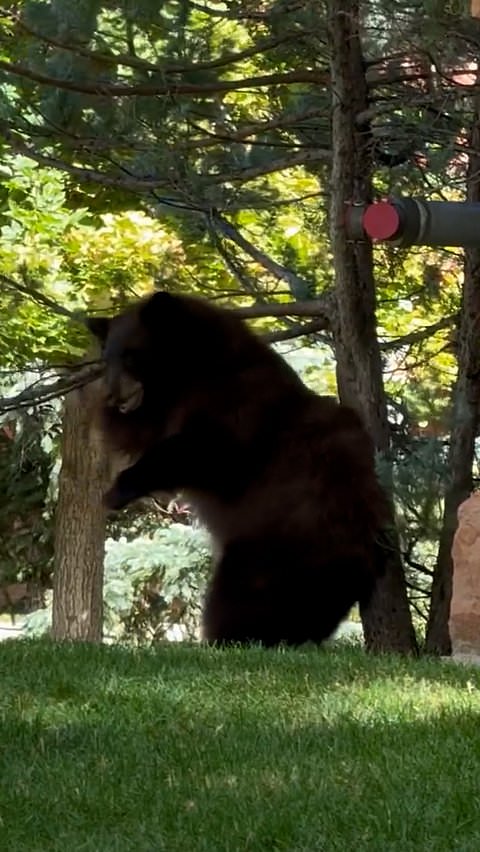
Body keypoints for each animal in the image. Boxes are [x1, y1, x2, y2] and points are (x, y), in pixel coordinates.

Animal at [87, 290, 389, 647]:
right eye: (107, 360)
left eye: (132, 356)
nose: (112, 396)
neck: (194, 370)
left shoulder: (239, 405)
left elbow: (205, 452)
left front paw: (116, 491)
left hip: (273, 547)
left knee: (239, 598)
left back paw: (230, 637)